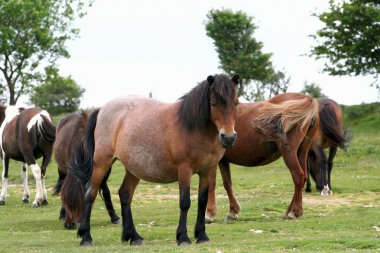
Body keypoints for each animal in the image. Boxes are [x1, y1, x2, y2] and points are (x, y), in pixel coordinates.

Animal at [206, 92, 320, 221]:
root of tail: (307, 100)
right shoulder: (223, 161)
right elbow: (227, 183)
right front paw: (233, 212)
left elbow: (211, 184)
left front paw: (209, 214)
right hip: (302, 151)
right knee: (303, 177)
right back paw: (291, 211)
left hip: (289, 153)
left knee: (298, 176)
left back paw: (294, 212)